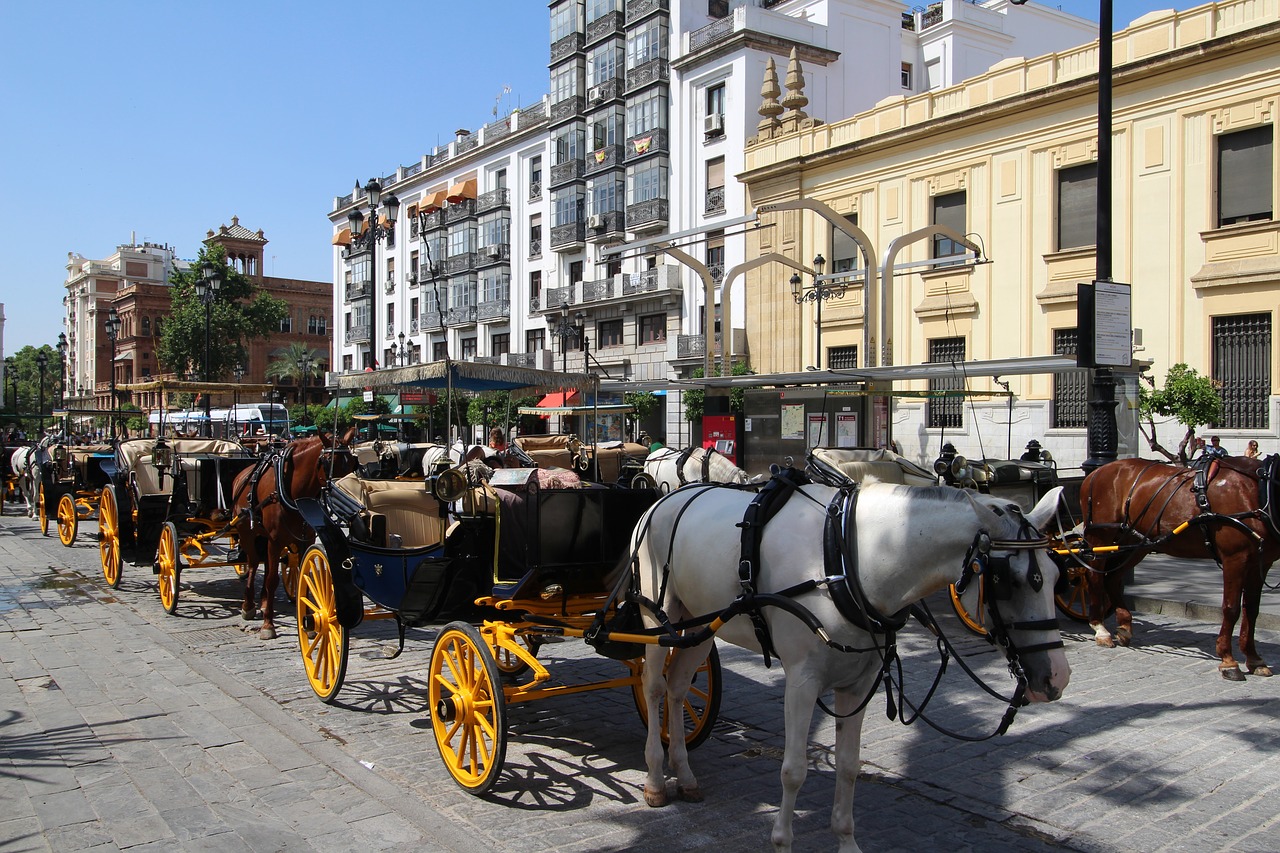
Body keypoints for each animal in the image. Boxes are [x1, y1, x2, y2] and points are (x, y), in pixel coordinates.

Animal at [230, 432, 355, 637]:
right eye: (328, 461)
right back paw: (248, 605)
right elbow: (273, 580)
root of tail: (241, 475)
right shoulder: (275, 540)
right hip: (247, 532)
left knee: (266, 565)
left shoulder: (306, 539)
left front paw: (310, 619)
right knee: (254, 563)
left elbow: (307, 577)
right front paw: (268, 625)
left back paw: (264, 602)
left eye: (352, 462)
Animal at [632, 473, 1070, 845]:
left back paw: (684, 773)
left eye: (1054, 575)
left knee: (678, 688)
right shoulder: (802, 682)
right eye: (1007, 581)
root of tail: (665, 499)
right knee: (654, 686)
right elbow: (793, 770)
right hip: (657, 616)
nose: (1057, 677)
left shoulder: (859, 683)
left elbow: (848, 765)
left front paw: (845, 840)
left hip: (700, 625)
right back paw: (655, 778)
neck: (846, 559)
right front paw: (782, 841)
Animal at [1075, 455, 1274, 681]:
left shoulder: (1261, 562)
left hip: (1135, 542)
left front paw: (1254, 659)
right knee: (1093, 576)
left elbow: (1252, 610)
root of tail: (1096, 472)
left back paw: (1124, 626)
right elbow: (1231, 609)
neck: (1259, 488)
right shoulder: (1235, 558)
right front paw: (1228, 661)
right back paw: (1100, 629)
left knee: (1112, 578)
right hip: (1100, 538)